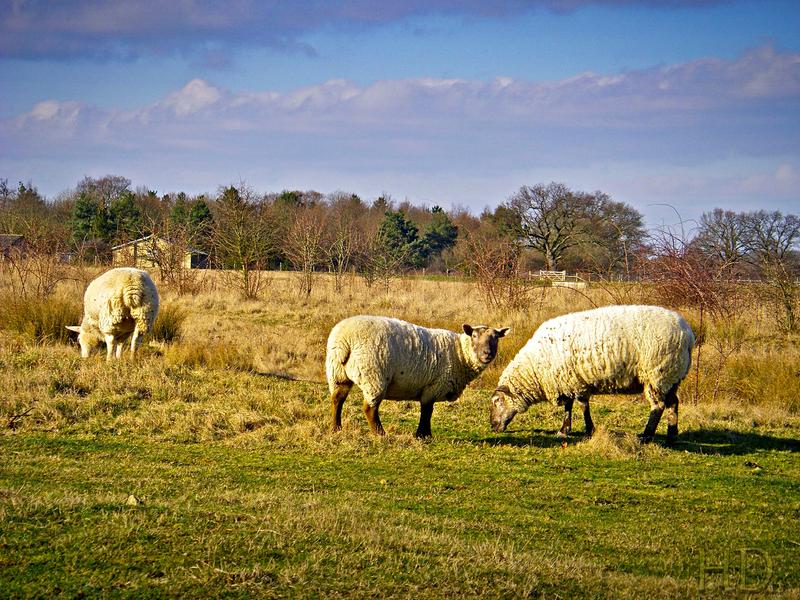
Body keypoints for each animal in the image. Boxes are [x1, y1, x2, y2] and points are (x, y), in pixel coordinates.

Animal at [327, 315, 510, 438]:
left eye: (496, 338)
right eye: (474, 336)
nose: (487, 353)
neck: (460, 353)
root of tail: (344, 340)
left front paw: (423, 434)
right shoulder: (434, 386)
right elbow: (427, 411)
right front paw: (424, 435)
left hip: (337, 374)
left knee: (337, 399)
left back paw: (336, 428)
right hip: (374, 376)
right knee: (369, 408)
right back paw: (380, 434)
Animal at [489, 305, 694, 444]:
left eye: (497, 402)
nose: (492, 426)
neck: (535, 367)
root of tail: (688, 335)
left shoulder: (576, 382)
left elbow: (582, 406)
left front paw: (589, 430)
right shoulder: (568, 382)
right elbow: (569, 407)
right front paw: (564, 430)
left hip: (657, 373)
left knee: (658, 406)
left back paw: (647, 435)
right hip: (672, 376)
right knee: (673, 403)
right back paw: (671, 434)